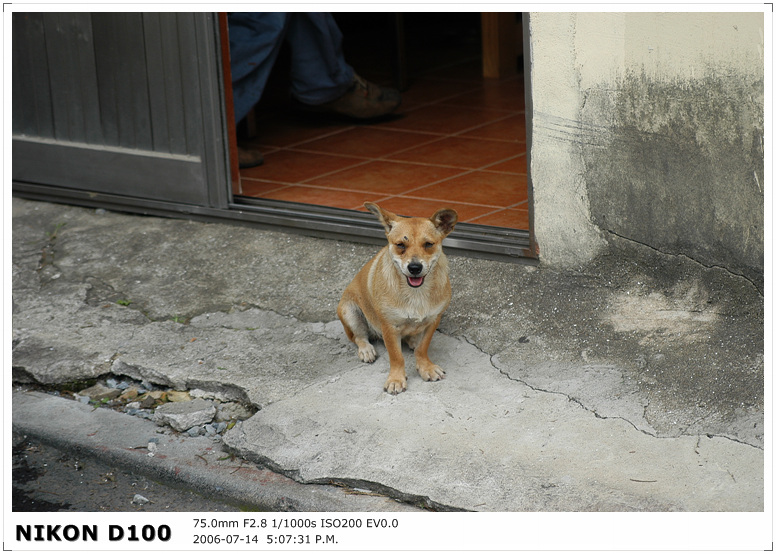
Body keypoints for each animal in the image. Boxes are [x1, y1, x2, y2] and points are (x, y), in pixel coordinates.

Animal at [338, 202, 458, 392]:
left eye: (428, 244)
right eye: (400, 245)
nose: (414, 267)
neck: (416, 292)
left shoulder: (434, 320)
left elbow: (423, 348)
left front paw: (425, 367)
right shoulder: (389, 327)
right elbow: (396, 356)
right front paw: (396, 378)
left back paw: (412, 340)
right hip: (349, 311)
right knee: (358, 337)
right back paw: (366, 350)